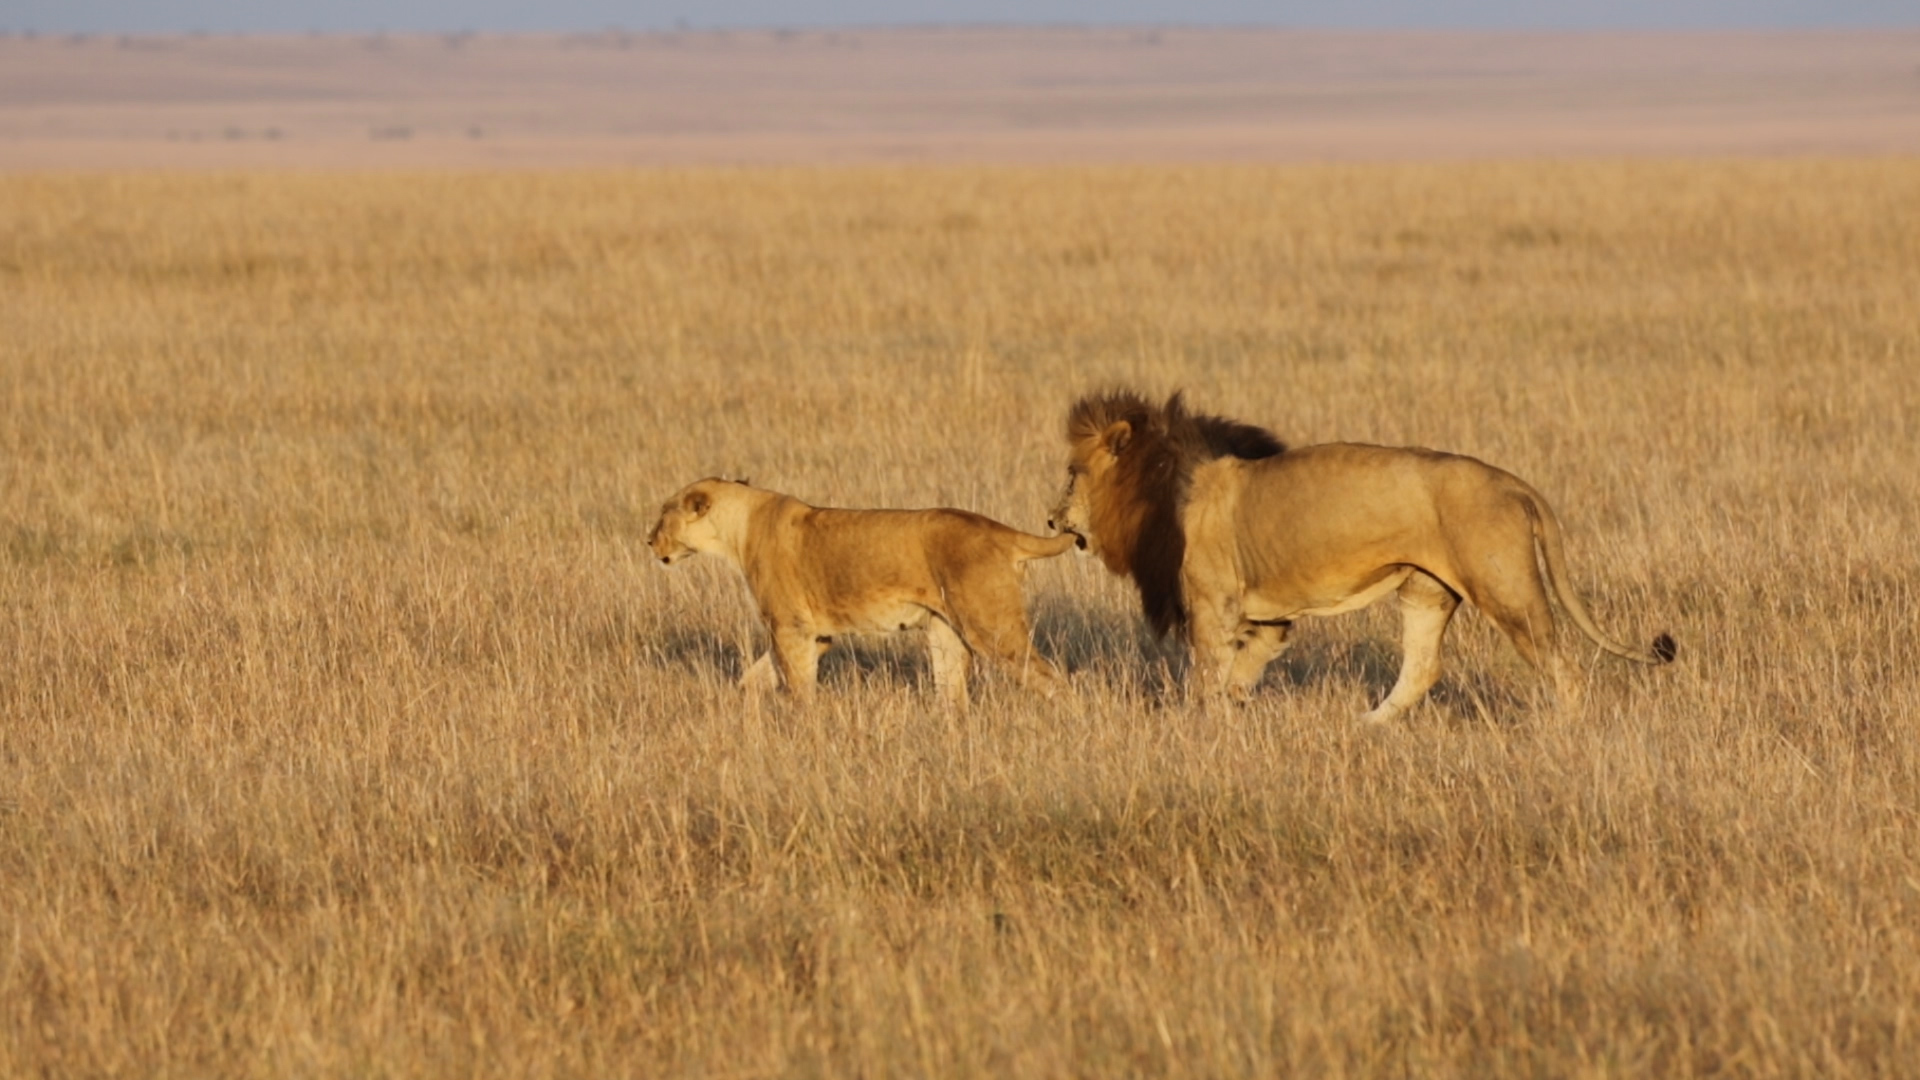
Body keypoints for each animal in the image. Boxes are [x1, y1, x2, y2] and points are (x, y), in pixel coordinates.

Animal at [648, 476, 1075, 699]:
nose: (648, 540)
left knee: (1052, 678)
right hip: (946, 631)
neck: (737, 529)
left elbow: (795, 684)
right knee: (952, 694)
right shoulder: (814, 634)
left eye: (664, 514)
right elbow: (753, 678)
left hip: (991, 626)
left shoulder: (791, 628)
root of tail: (1000, 529)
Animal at [1044, 388, 1674, 722]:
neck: (1163, 483)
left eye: (1072, 473)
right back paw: (1368, 724)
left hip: (1507, 590)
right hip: (1425, 589)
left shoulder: (1212, 604)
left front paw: (1205, 719)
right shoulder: (1267, 617)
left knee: (1562, 665)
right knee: (1423, 667)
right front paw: (1234, 708)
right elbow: (1244, 668)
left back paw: (1567, 725)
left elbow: (1208, 671)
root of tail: (1514, 483)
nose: (1050, 518)